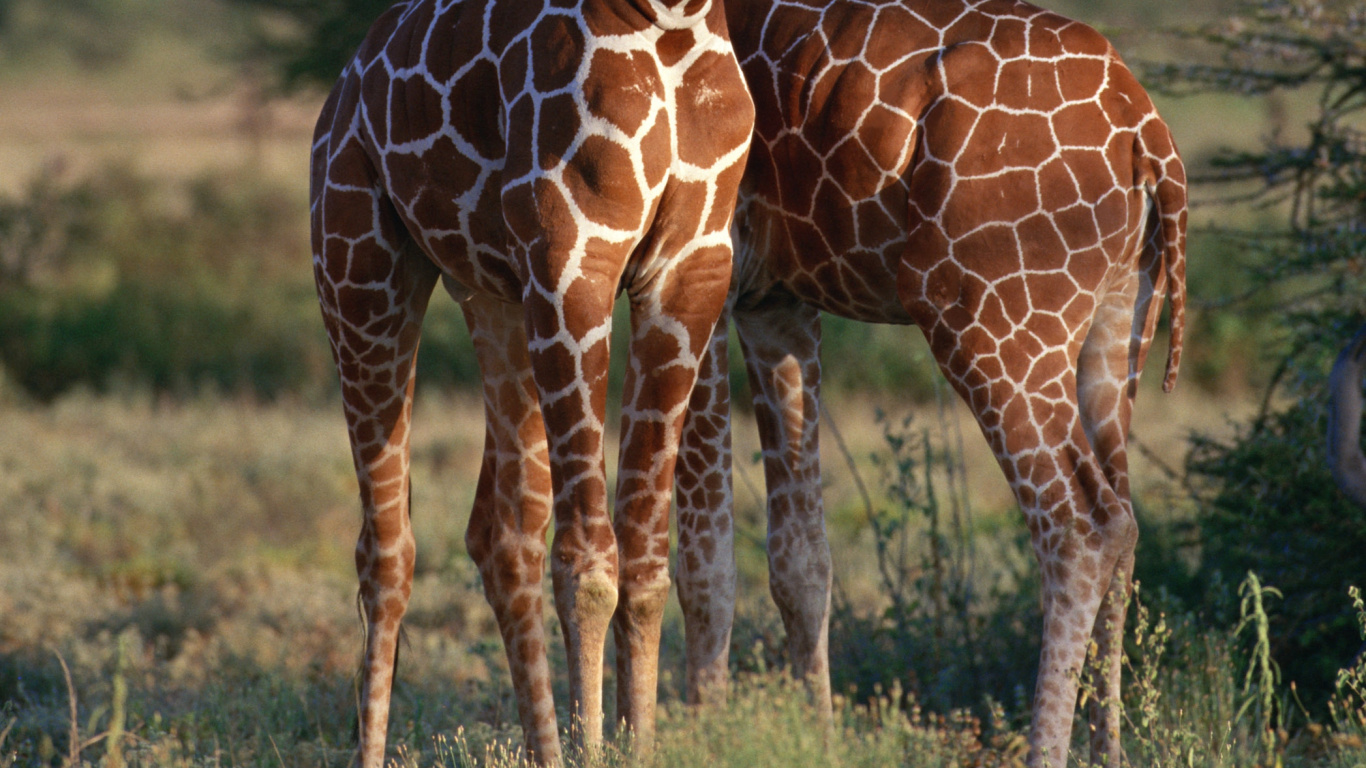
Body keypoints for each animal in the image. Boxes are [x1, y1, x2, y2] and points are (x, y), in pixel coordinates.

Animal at [308, 0, 754, 764]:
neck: (671, 17)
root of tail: (339, 95)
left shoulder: (693, 265)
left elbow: (646, 564)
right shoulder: (573, 255)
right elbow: (588, 565)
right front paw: (596, 744)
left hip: (495, 298)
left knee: (502, 532)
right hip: (360, 271)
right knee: (386, 553)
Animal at [671, 1, 1188, 765]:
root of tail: (1146, 132)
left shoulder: (692, 269)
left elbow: (697, 558)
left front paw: (690, 739)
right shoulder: (777, 299)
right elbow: (800, 560)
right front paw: (819, 744)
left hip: (982, 312)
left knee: (1080, 526)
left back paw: (1043, 749)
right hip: (1117, 327)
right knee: (1123, 522)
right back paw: (1109, 752)